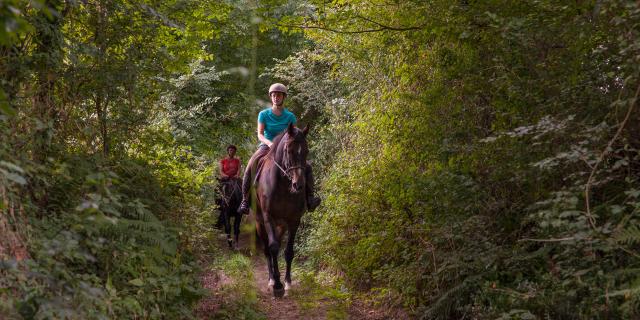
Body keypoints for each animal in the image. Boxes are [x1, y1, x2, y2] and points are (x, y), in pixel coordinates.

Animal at [251, 122, 308, 298]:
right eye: (288, 151)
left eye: (306, 151)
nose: (299, 185)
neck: (283, 185)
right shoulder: (268, 217)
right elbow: (273, 248)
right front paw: (277, 285)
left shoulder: (294, 220)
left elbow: (288, 251)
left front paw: (287, 283)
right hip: (260, 222)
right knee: (267, 250)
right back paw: (271, 280)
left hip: (281, 225)